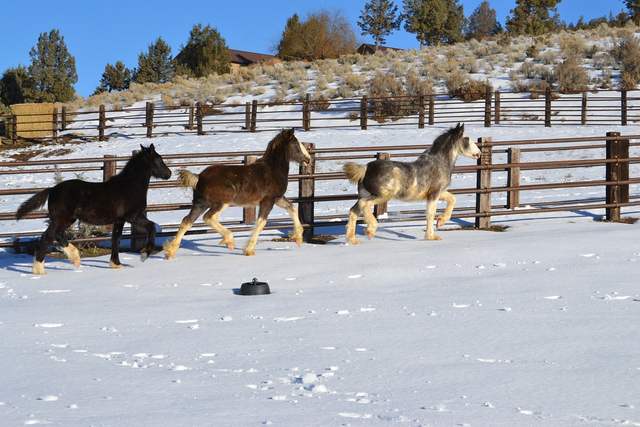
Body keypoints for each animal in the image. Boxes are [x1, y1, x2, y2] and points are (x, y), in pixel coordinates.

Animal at [17, 145, 171, 276]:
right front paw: (144, 254)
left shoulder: (119, 220)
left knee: (55, 235)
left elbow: (116, 239)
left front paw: (116, 264)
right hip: (62, 219)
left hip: (67, 219)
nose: (168, 174)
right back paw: (44, 269)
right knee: (49, 236)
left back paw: (68, 261)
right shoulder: (133, 216)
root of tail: (52, 189)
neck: (130, 186)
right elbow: (152, 227)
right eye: (158, 160)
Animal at [164, 129, 312, 260]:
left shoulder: (278, 198)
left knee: (187, 221)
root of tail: (199, 177)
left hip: (200, 203)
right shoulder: (268, 200)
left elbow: (292, 208)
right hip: (222, 202)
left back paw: (170, 252)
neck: (272, 169)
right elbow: (261, 222)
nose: (308, 159)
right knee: (209, 217)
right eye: (296, 144)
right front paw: (249, 250)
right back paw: (229, 241)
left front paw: (298, 238)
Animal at [344, 123, 480, 244]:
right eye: (467, 138)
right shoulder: (434, 193)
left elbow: (452, 199)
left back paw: (352, 240)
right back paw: (370, 230)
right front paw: (431, 237)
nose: (479, 153)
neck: (438, 163)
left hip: (366, 194)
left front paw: (441, 221)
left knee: (353, 211)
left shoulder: (438, 192)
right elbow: (430, 213)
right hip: (382, 196)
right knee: (364, 204)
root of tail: (365, 168)